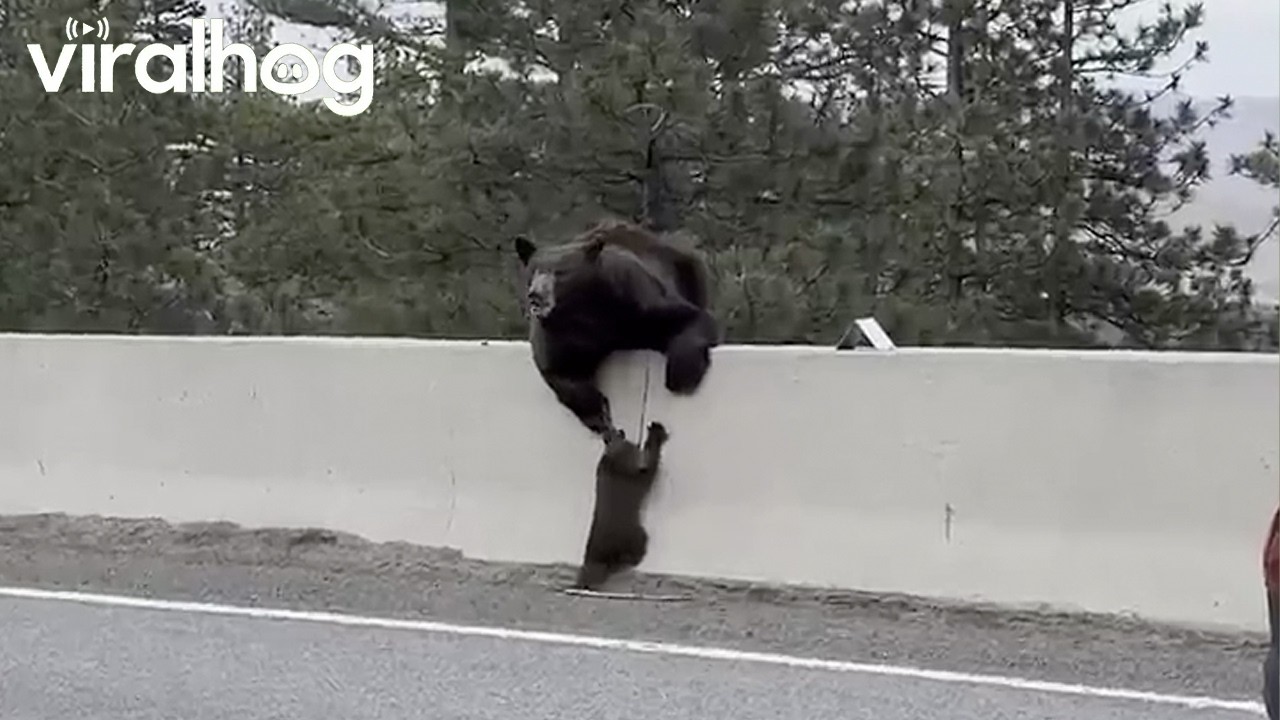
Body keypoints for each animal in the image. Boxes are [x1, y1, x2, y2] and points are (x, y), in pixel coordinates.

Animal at [513, 220, 719, 435]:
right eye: (533, 272)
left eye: (561, 272)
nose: (535, 295)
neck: (583, 311)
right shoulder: (556, 332)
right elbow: (559, 369)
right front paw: (598, 414)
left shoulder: (634, 295)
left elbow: (689, 317)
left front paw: (682, 376)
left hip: (688, 267)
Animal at [573, 421, 670, 591]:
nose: (617, 434)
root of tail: (592, 559)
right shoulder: (641, 470)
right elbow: (652, 458)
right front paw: (656, 432)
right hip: (637, 535)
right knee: (632, 557)